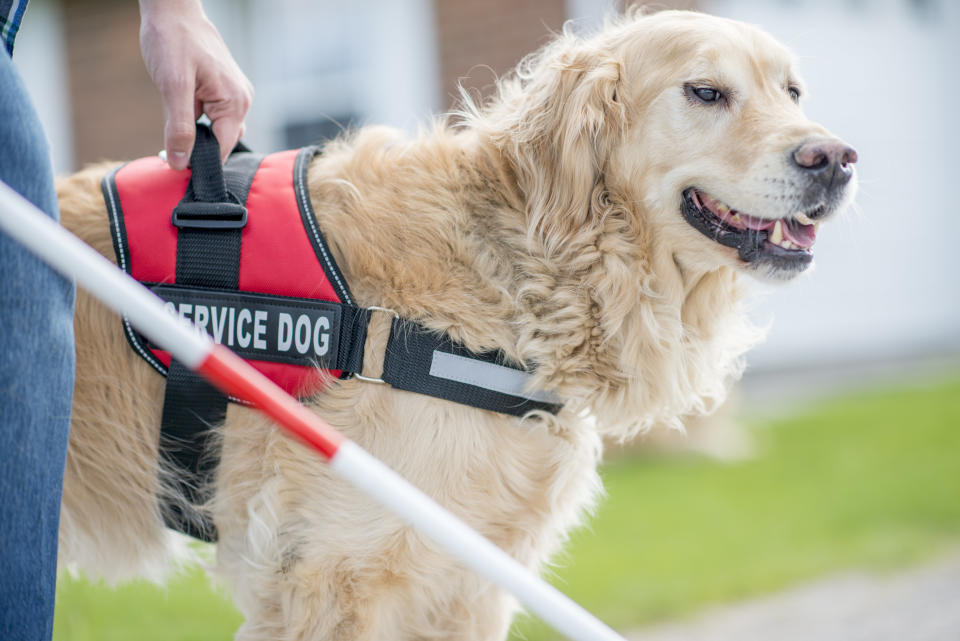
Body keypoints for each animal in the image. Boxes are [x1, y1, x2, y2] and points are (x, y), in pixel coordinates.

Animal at [56, 10, 860, 640]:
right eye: (705, 92)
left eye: (792, 91)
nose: (837, 159)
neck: (523, 265)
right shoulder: (334, 568)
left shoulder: (467, 576)